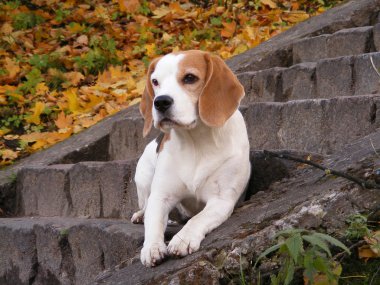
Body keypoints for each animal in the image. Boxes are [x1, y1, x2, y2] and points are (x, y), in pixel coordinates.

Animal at [132, 50, 251, 266]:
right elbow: (153, 224)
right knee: (145, 205)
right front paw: (151, 247)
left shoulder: (222, 200)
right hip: (143, 177)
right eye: (155, 81)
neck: (195, 142)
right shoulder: (160, 196)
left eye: (189, 78)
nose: (160, 102)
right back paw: (141, 215)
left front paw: (183, 238)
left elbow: (198, 219)